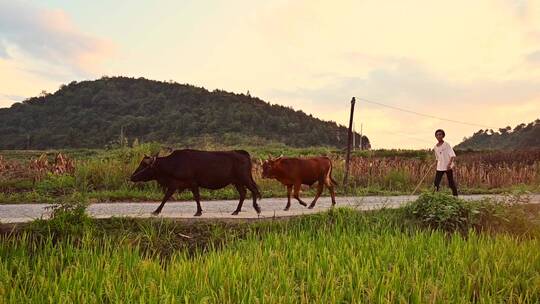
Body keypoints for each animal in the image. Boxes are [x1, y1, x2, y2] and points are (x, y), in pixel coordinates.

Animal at [131, 149, 262, 216]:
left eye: (144, 165)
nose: (132, 177)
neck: (174, 163)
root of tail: (242, 152)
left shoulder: (190, 183)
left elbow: (195, 197)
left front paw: (198, 212)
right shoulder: (176, 184)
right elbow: (167, 197)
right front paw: (156, 210)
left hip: (245, 178)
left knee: (254, 190)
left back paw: (257, 208)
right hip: (237, 181)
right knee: (243, 193)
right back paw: (236, 211)